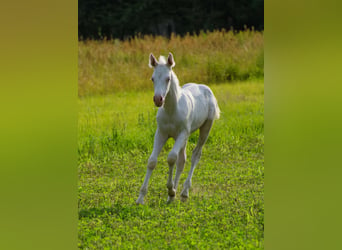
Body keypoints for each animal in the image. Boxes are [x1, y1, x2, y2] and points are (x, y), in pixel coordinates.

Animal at [135, 52, 220, 205]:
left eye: (168, 78)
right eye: (152, 78)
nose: (158, 99)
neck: (171, 111)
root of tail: (205, 88)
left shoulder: (182, 133)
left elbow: (171, 158)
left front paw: (171, 190)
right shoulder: (161, 133)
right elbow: (152, 161)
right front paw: (141, 197)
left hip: (205, 128)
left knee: (195, 155)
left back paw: (184, 192)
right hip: (183, 137)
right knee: (182, 160)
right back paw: (173, 196)